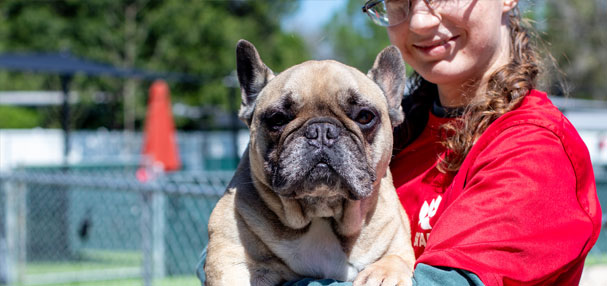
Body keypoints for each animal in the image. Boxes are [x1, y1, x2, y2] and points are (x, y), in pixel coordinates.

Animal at [207, 40, 416, 286]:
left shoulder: (397, 244)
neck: (321, 213)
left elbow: (394, 259)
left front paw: (382, 275)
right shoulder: (232, 260)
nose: (322, 131)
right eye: (278, 118)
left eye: (365, 116)